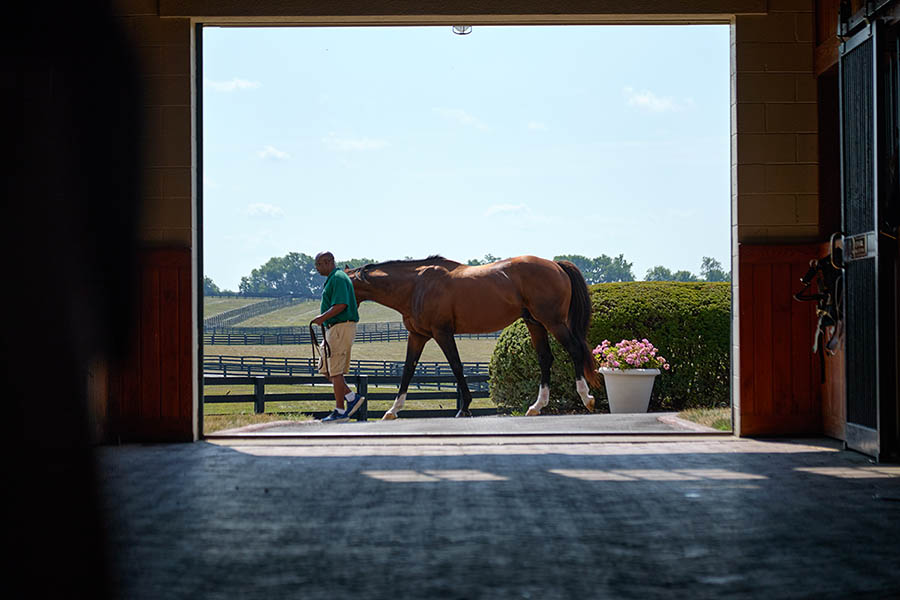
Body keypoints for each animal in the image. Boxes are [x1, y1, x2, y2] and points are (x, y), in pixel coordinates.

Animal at [345, 255, 602, 419]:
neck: (417, 285)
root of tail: (556, 265)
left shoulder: (442, 333)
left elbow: (456, 366)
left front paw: (464, 407)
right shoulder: (417, 336)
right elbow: (408, 370)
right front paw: (393, 410)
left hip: (553, 322)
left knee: (575, 350)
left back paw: (586, 398)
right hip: (535, 323)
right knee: (545, 359)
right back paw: (537, 406)